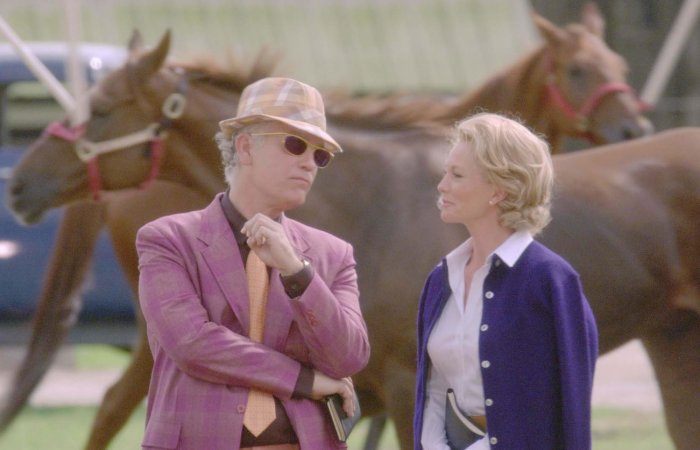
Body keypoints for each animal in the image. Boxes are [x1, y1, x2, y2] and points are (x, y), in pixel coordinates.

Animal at [2, 5, 662, 449]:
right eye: (578, 70)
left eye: (101, 108)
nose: (20, 183)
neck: (368, 203)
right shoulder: (394, 384)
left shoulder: (388, 386)